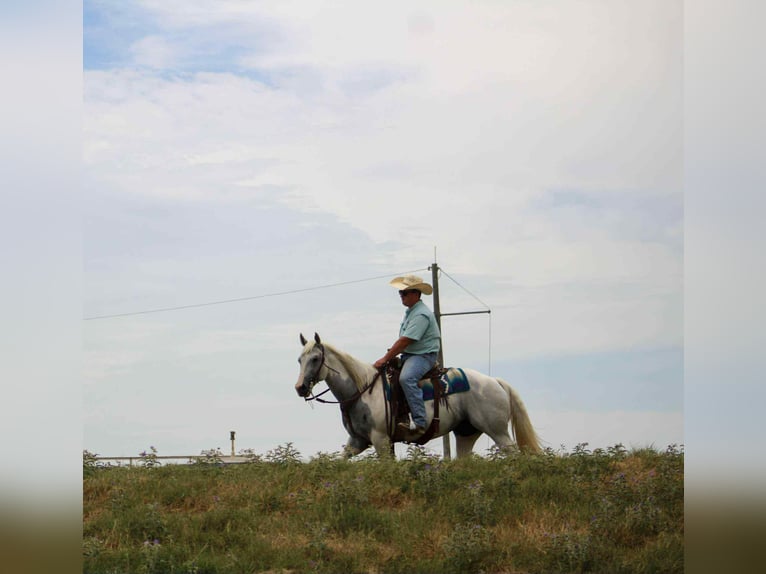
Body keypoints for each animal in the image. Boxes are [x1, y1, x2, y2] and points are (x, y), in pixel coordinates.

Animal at [294, 333, 541, 458]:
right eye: (299, 359)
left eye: (315, 359)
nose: (300, 388)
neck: (363, 390)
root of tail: (495, 382)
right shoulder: (357, 441)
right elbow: (337, 462)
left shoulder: (381, 439)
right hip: (466, 433)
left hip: (497, 431)